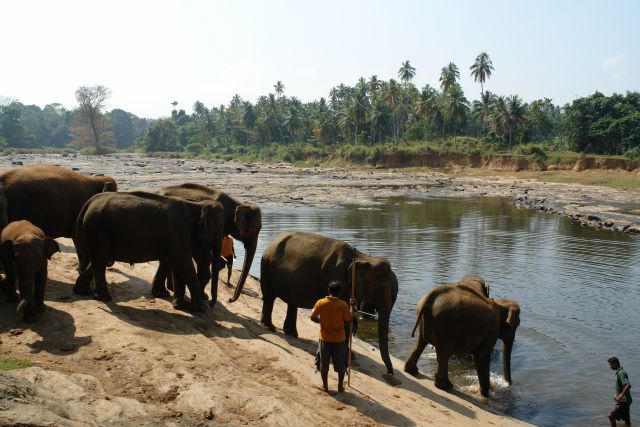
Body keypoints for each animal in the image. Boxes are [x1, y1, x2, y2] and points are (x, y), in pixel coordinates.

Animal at [71, 191, 222, 310]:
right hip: (98, 232)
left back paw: (83, 291)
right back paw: (104, 298)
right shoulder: (178, 231)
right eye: (216, 232)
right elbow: (181, 262)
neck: (196, 204)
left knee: (98, 261)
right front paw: (200, 309)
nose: (211, 304)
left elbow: (177, 264)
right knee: (100, 261)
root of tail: (89, 202)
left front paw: (181, 306)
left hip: (97, 235)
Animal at [258, 231, 396, 374]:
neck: (361, 256)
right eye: (380, 288)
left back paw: (291, 333)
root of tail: (272, 244)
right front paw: (350, 356)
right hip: (267, 268)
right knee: (269, 297)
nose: (389, 372)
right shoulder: (337, 277)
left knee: (291, 303)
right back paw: (270, 327)